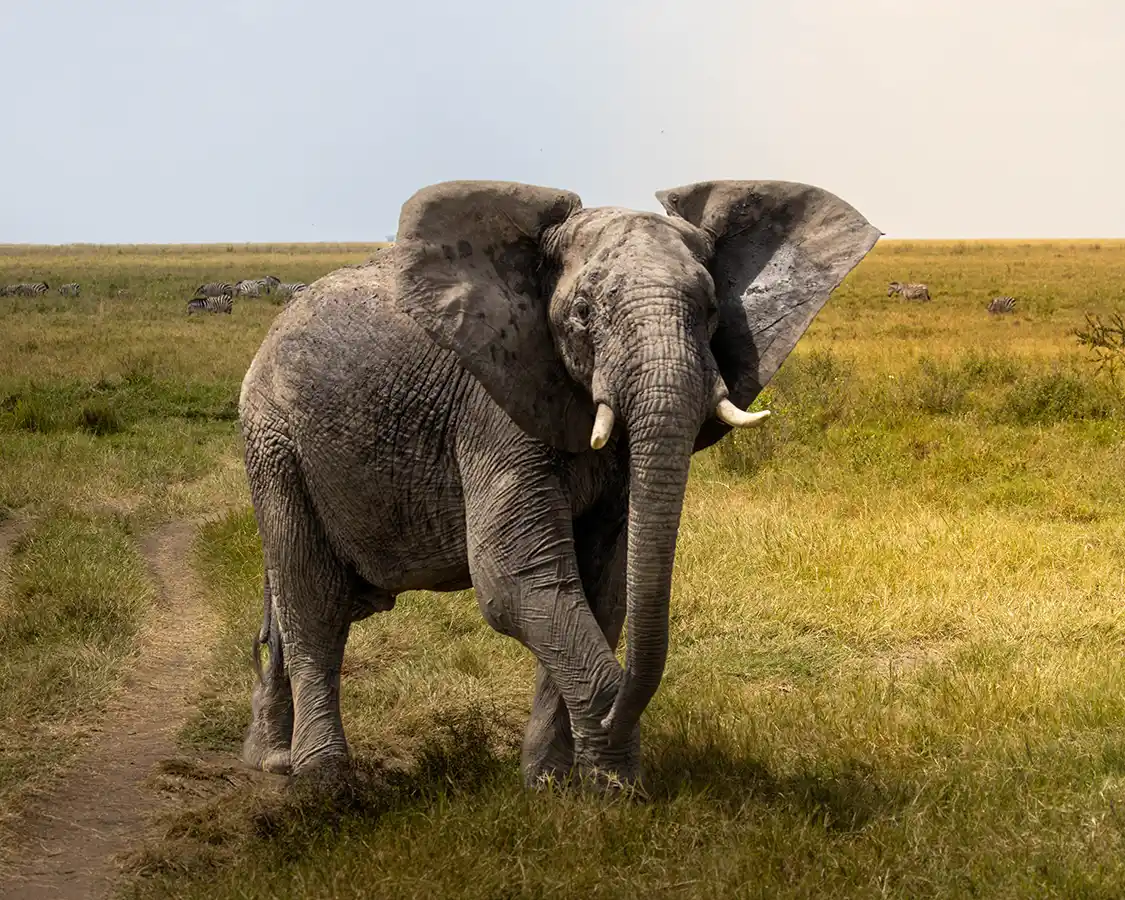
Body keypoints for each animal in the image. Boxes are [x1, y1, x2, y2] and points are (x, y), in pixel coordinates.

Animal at [237, 178, 880, 791]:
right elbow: (517, 580)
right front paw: (617, 785)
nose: (619, 719)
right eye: (584, 315)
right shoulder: (495, 404)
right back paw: (320, 778)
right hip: (274, 439)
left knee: (304, 601)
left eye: (711, 311)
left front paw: (555, 783)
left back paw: (271, 758)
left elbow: (601, 588)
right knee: (313, 597)